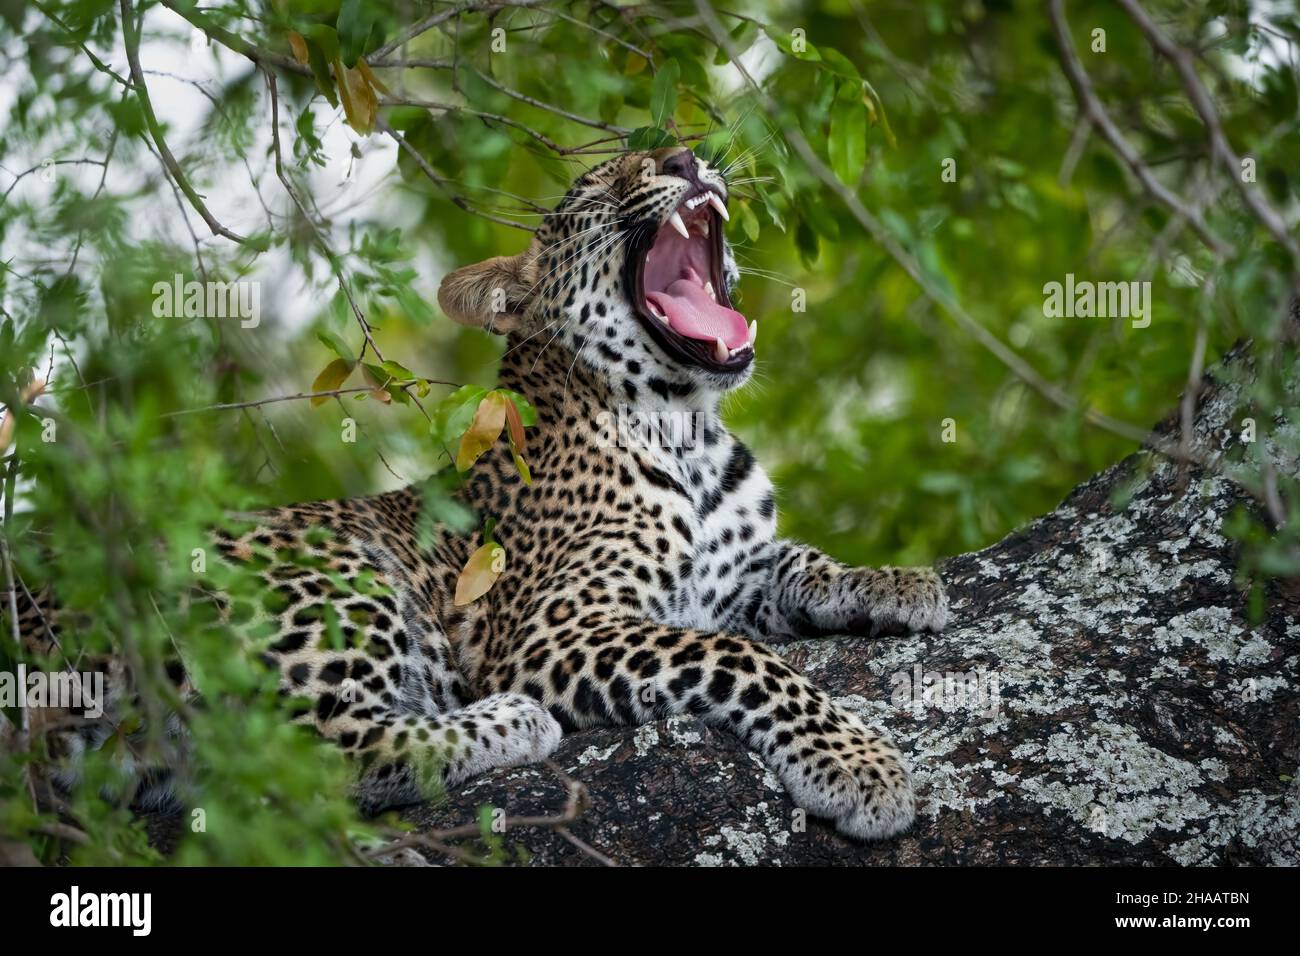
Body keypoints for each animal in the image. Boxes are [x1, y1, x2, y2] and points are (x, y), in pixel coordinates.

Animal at [7, 145, 946, 842]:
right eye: (598, 186)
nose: (687, 156)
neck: (688, 431)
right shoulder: (552, 628)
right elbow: (743, 660)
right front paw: (859, 765)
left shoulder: (732, 572)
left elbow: (799, 561)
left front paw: (898, 584)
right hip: (326, 576)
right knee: (304, 757)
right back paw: (508, 723)